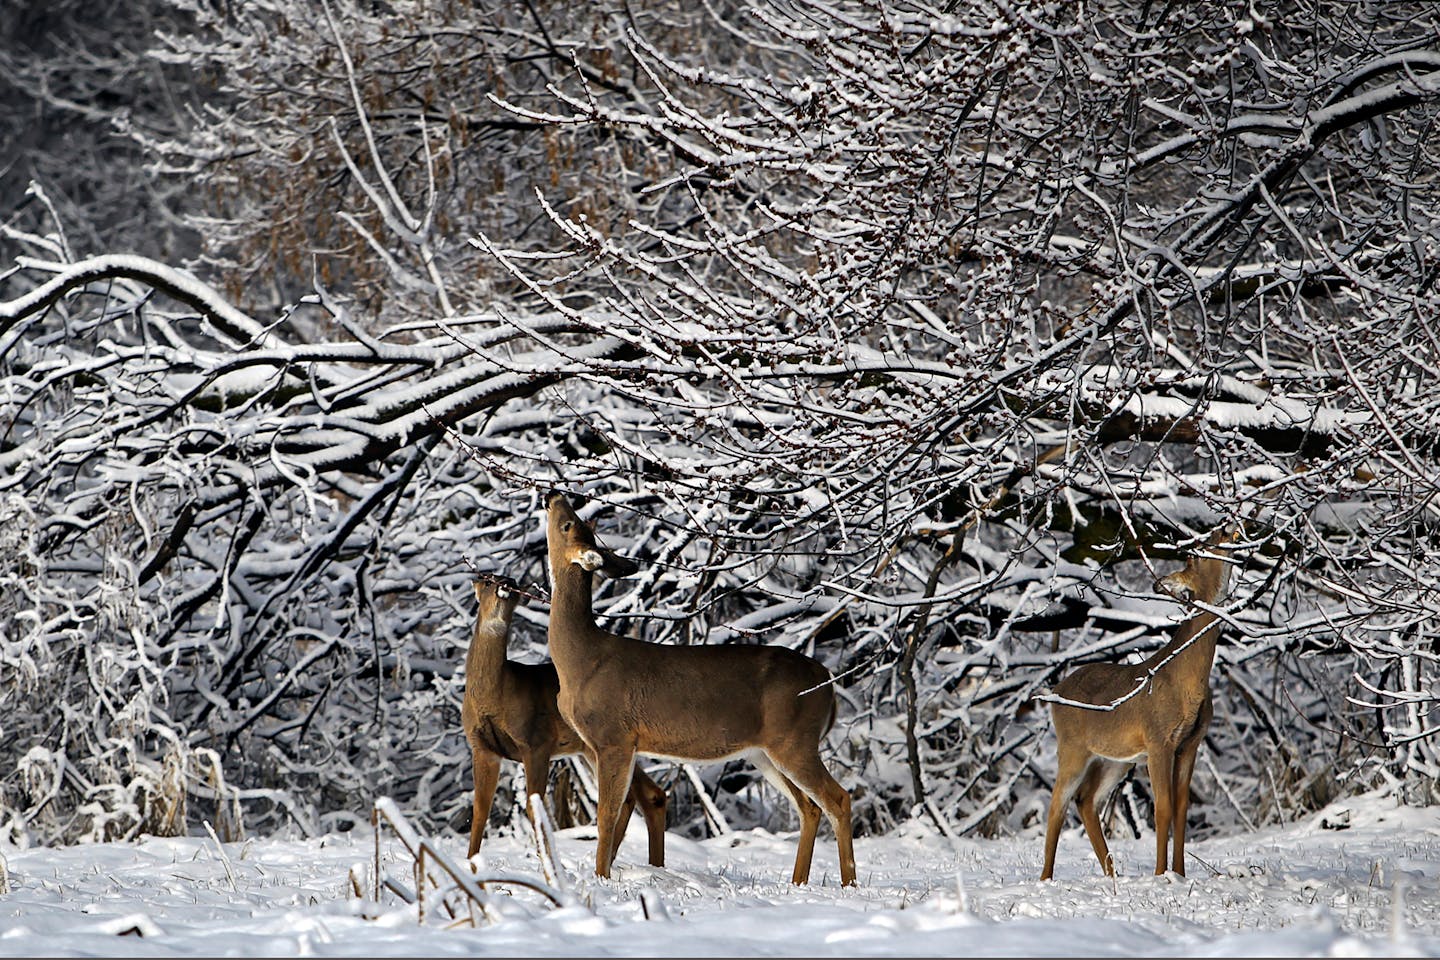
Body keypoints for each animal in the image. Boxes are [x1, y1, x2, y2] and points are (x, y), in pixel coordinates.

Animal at [457, 575, 665, 869]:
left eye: (512, 582)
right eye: (487, 581)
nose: (507, 584)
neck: (496, 695)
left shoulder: (536, 741)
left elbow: (534, 807)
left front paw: (547, 863)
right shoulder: (482, 747)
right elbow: (480, 809)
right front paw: (470, 863)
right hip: (595, 748)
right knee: (644, 795)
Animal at [541, 495, 852, 886]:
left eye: (568, 524)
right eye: (579, 522)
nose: (553, 496)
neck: (580, 660)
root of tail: (828, 683)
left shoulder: (613, 737)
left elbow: (606, 815)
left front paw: (601, 878)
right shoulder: (605, 744)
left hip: (796, 740)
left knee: (838, 799)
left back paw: (849, 883)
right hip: (767, 751)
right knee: (809, 805)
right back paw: (797, 882)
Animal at [1036, 529, 1238, 880]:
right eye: (1194, 554)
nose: (1224, 529)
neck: (1186, 680)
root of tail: (1055, 690)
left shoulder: (1190, 743)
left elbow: (1182, 808)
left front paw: (1179, 874)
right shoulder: (1158, 739)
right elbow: (1163, 808)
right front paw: (1160, 876)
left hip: (1115, 759)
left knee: (1086, 800)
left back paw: (1110, 873)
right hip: (1072, 745)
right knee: (1056, 804)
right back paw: (1046, 878)